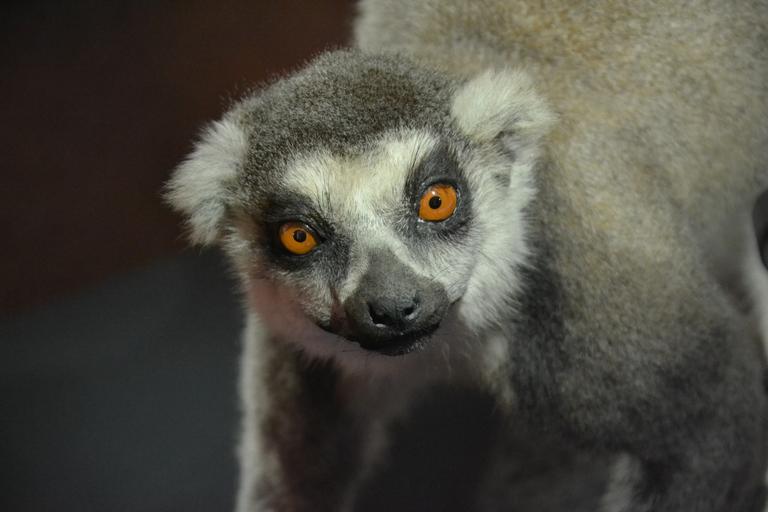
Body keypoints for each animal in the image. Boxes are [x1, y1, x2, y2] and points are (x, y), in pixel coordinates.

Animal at [166, 1, 768, 511]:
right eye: (298, 237)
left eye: (437, 201)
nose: (393, 306)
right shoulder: (303, 342)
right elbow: (297, 476)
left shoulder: (589, 278)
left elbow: (714, 415)